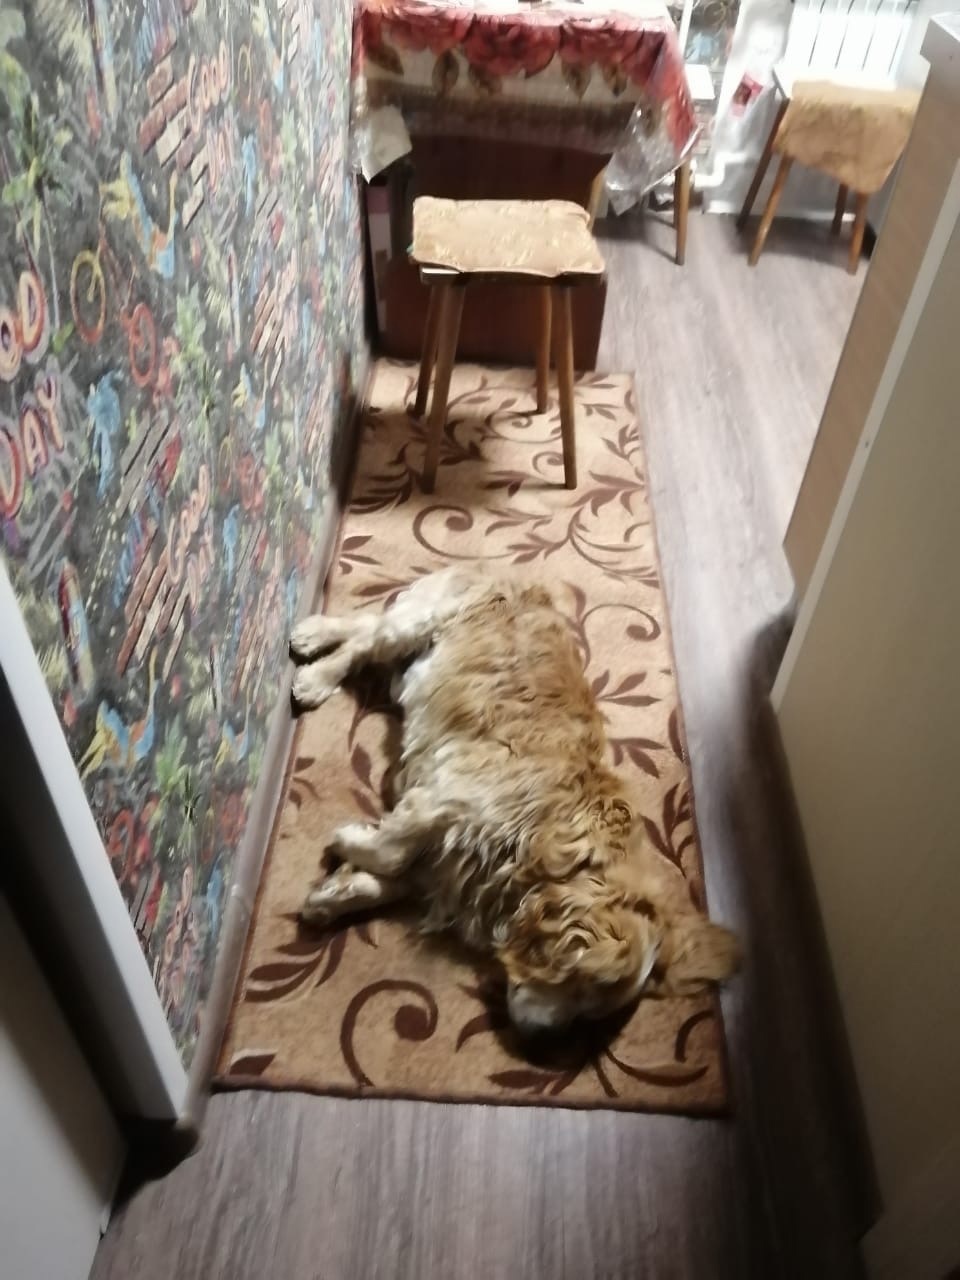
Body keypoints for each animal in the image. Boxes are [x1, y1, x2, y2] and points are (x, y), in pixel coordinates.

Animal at [290, 569, 738, 1035]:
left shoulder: (446, 867)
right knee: (365, 643)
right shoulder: (446, 801)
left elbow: (389, 879)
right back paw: (315, 676)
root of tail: (508, 570)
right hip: (419, 622)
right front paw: (347, 841)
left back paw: (312, 634)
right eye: (578, 984)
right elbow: (391, 852)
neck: (551, 850)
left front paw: (332, 896)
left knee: (367, 627)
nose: (532, 1033)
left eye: (584, 1014)